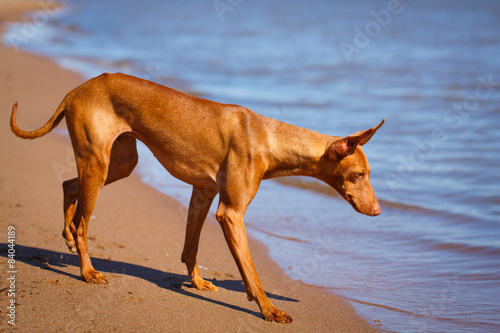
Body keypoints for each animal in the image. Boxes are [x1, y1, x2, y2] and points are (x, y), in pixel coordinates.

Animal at [9, 73, 384, 322]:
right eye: (360, 174)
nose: (380, 211)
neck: (269, 137)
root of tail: (78, 88)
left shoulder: (203, 194)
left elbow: (191, 247)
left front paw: (199, 282)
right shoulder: (231, 213)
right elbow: (251, 270)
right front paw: (269, 308)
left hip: (118, 164)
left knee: (67, 187)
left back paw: (68, 239)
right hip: (98, 164)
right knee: (83, 222)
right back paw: (87, 271)